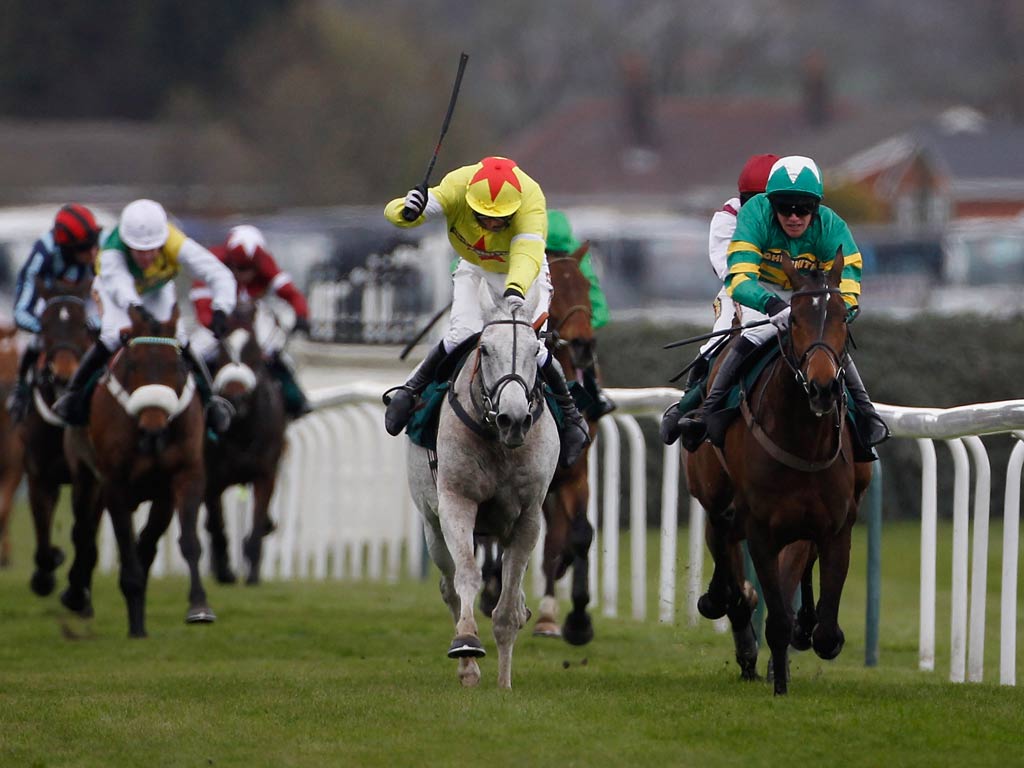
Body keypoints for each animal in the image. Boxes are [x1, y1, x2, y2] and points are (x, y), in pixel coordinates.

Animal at [61, 307, 214, 638]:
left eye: (178, 365)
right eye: (132, 365)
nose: (153, 429)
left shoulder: (182, 479)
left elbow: (185, 542)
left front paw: (199, 606)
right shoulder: (114, 484)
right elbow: (125, 546)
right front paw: (135, 625)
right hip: (85, 478)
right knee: (83, 533)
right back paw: (77, 597)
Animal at [201, 301, 286, 581]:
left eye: (254, 351)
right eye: (222, 350)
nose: (235, 399)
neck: (241, 430)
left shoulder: (264, 473)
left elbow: (258, 520)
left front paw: (252, 572)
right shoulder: (212, 477)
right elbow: (217, 522)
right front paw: (225, 569)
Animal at [405, 280, 561, 688]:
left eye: (536, 350)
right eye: (485, 349)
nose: (514, 419)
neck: (497, 441)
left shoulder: (528, 518)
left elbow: (507, 605)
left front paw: (504, 684)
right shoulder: (456, 503)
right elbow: (467, 577)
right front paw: (467, 645)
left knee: (511, 593)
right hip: (432, 525)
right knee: (449, 585)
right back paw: (468, 668)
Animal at [688, 252, 872, 696]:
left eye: (842, 318)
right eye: (797, 321)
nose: (823, 387)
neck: (803, 441)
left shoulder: (834, 526)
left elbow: (821, 626)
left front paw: (804, 641)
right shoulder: (761, 529)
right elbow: (773, 615)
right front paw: (779, 685)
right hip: (715, 498)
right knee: (723, 547)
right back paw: (727, 610)